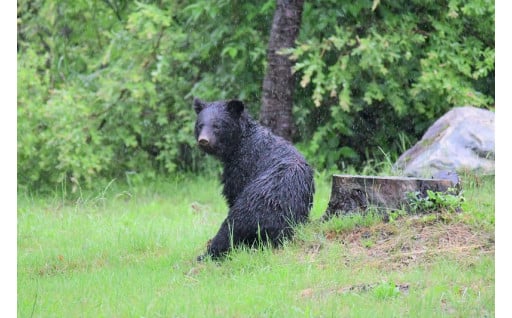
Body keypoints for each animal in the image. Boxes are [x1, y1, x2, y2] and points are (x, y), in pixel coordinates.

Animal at [194, 98, 314, 260]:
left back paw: (206, 254)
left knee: (230, 229)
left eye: (217, 126)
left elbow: (233, 192)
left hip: (251, 207)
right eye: (200, 125)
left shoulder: (243, 166)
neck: (238, 143)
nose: (203, 141)